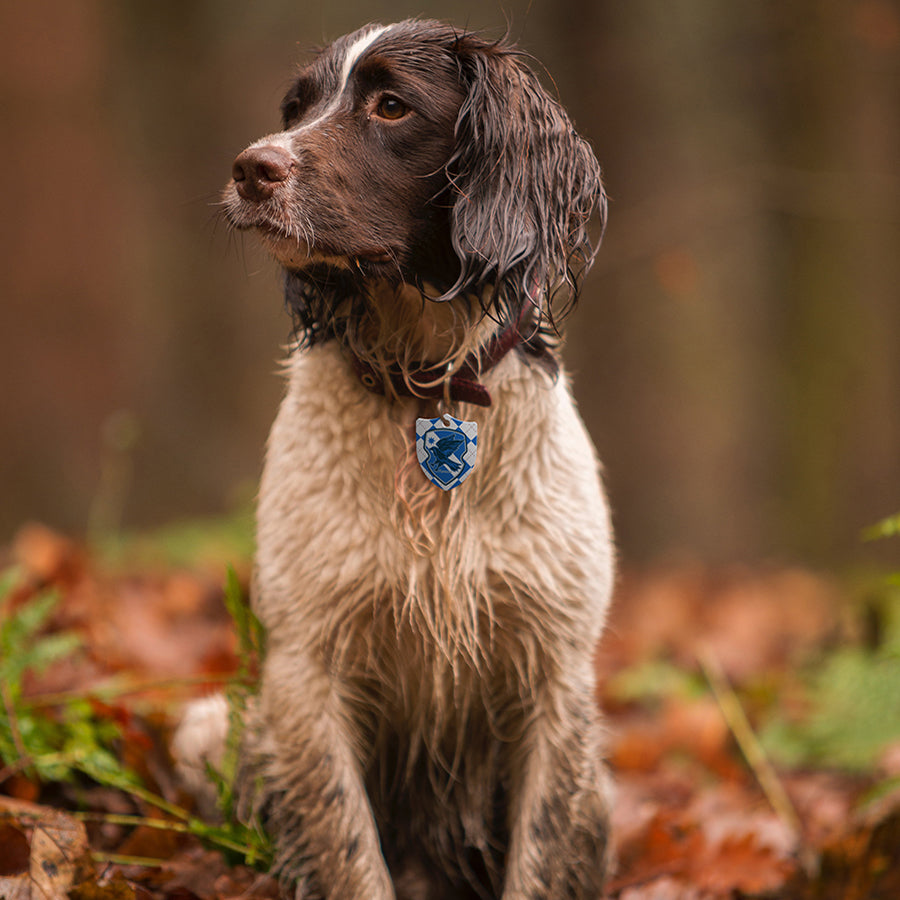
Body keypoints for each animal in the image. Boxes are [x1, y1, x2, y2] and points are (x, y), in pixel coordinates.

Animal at [178, 15, 612, 900]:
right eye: (296, 106)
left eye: (390, 106)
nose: (249, 168)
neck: (425, 383)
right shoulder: (308, 670)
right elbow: (347, 852)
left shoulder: (554, 674)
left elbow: (542, 857)